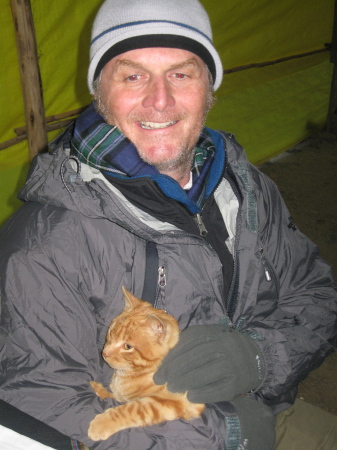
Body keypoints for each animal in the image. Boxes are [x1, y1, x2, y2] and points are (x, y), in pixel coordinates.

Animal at [88, 286, 203, 442]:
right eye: (111, 333)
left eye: (128, 347)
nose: (104, 353)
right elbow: (113, 396)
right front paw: (98, 389)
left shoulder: (170, 401)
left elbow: (130, 409)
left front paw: (101, 423)